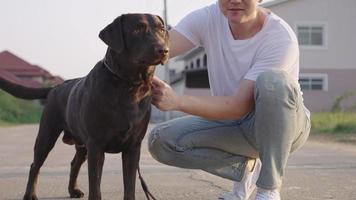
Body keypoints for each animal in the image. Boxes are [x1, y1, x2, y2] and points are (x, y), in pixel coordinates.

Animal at [0, 13, 169, 199]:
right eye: (137, 29)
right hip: (47, 135)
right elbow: (95, 187)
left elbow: (129, 187)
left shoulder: (132, 148)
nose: (164, 50)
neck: (129, 86)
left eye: (162, 29)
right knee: (34, 165)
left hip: (81, 145)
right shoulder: (96, 146)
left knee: (74, 163)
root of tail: (54, 87)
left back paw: (73, 190)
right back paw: (30, 194)